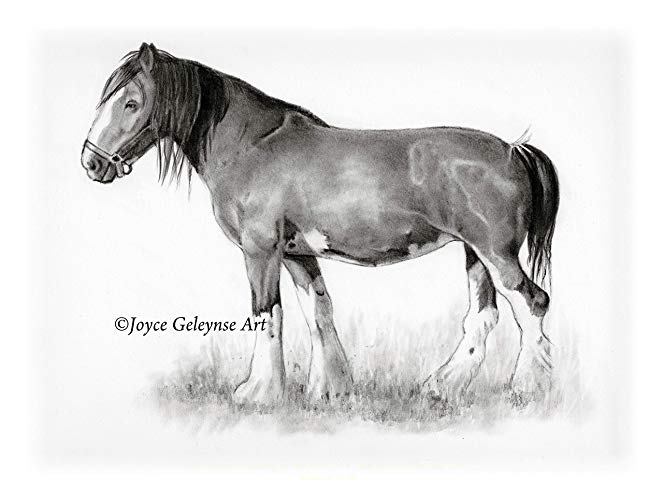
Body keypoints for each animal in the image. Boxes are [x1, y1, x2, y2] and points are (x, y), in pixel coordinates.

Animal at [81, 43, 559, 407]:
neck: (252, 145)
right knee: (483, 316)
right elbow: (319, 312)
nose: (91, 163)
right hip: (473, 253)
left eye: (131, 102)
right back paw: (440, 386)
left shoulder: (260, 251)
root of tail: (513, 151)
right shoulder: (298, 254)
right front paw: (329, 391)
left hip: (495, 253)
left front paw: (257, 393)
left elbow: (266, 313)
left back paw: (528, 389)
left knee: (532, 303)